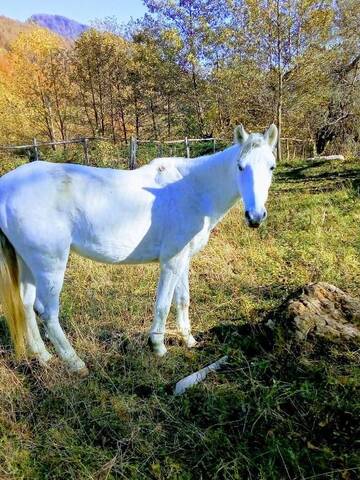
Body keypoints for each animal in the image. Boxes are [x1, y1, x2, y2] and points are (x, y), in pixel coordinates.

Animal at [0, 124, 278, 376]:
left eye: (271, 167)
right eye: (240, 166)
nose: (255, 216)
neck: (192, 189)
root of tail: (6, 186)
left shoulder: (182, 259)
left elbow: (182, 300)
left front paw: (189, 341)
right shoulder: (171, 260)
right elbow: (163, 303)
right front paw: (158, 347)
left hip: (27, 262)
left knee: (26, 304)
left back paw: (44, 357)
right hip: (50, 263)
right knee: (47, 312)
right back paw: (75, 363)